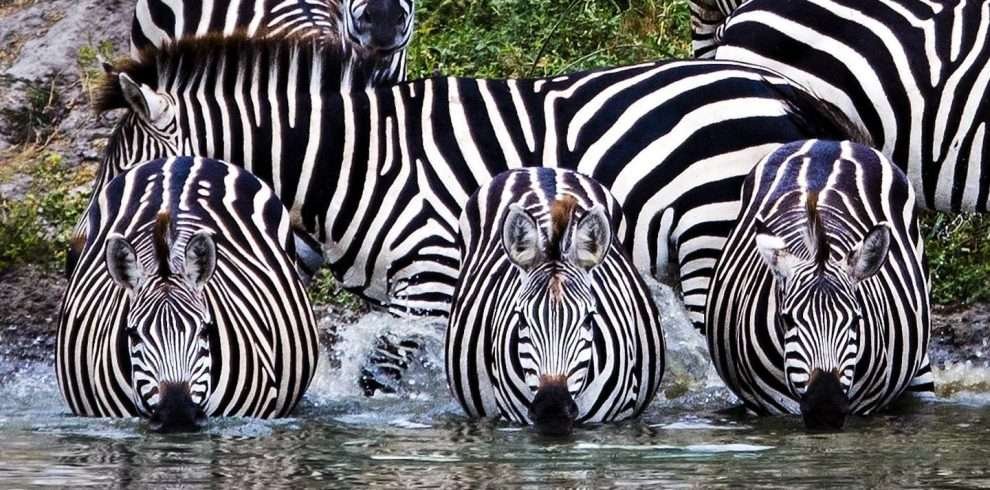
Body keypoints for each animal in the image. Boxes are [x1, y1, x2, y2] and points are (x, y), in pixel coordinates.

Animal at [85, 34, 860, 334]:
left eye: (129, 179)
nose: (75, 255)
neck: (356, 157)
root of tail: (775, 87)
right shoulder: (400, 293)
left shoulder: (428, 278)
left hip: (710, 239)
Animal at [705, 140, 931, 430]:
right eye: (788, 320)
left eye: (855, 321)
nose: (826, 407)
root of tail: (828, 143)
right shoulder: (765, 407)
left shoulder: (867, 406)